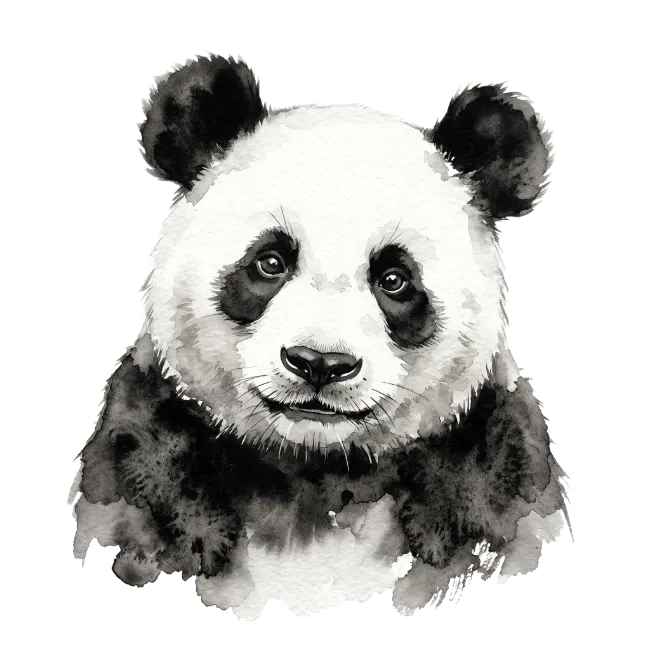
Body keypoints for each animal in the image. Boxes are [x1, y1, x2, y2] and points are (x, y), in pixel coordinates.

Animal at [72, 52, 571, 620]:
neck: (317, 473)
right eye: (270, 261)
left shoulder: (503, 479)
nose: (319, 363)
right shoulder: (136, 463)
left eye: (394, 279)